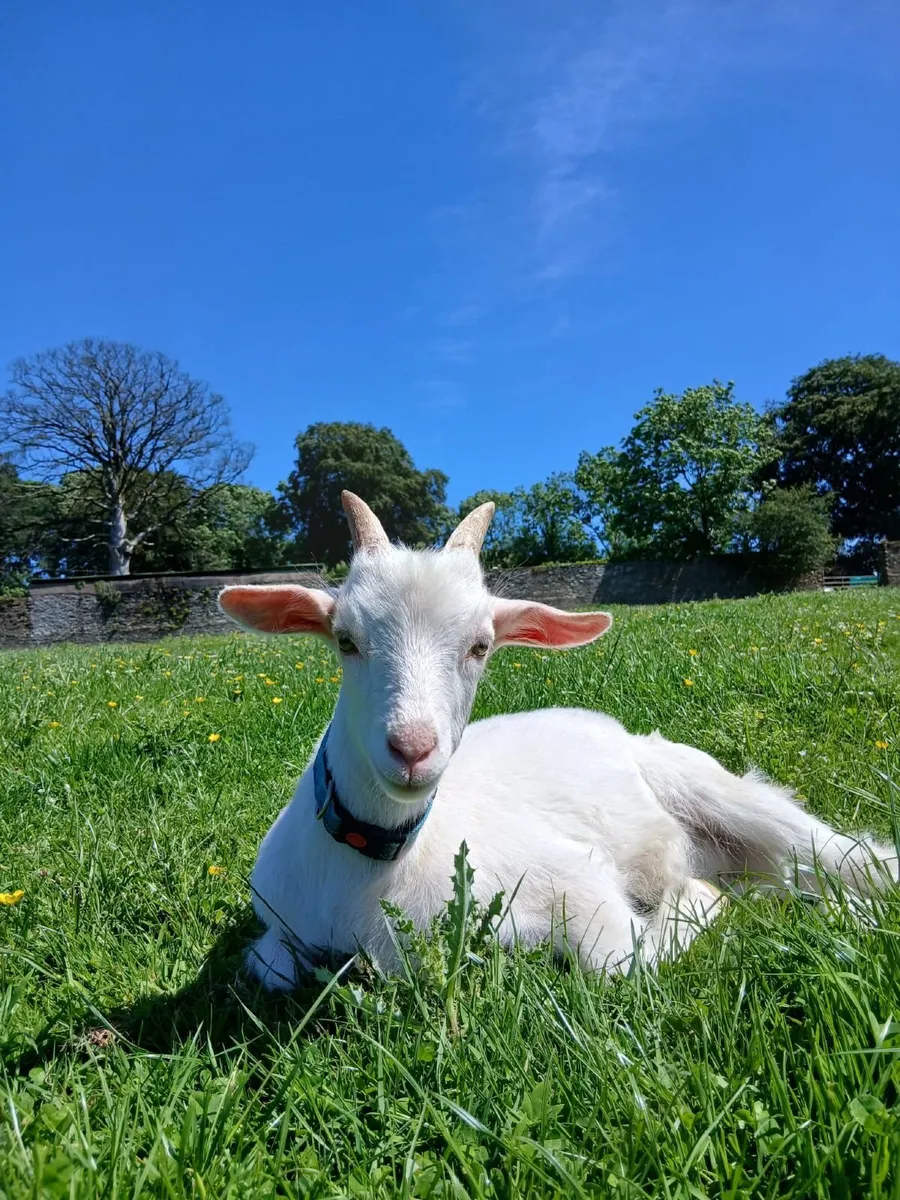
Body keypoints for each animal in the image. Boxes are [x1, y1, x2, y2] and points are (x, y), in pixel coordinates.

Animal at [219, 493, 897, 990]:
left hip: (714, 789)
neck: (370, 870)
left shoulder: (573, 874)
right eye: (345, 640)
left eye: (481, 645)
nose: (412, 751)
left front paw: (695, 902)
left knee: (856, 858)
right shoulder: (276, 921)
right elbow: (269, 966)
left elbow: (619, 961)